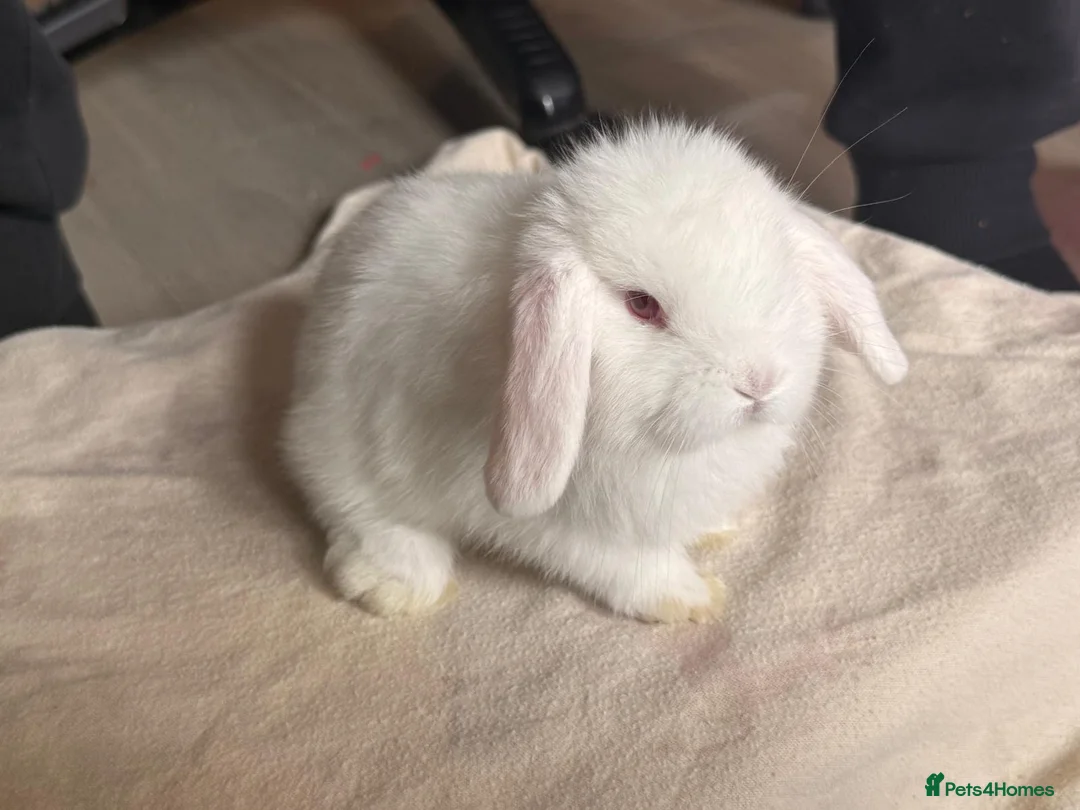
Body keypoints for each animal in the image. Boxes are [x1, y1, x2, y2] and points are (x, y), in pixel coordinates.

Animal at [281, 118, 908, 623]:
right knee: (355, 512)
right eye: (642, 305)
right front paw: (689, 599)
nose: (758, 382)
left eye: (778, 274)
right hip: (344, 448)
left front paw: (714, 531)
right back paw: (399, 584)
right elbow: (623, 562)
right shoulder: (557, 522)